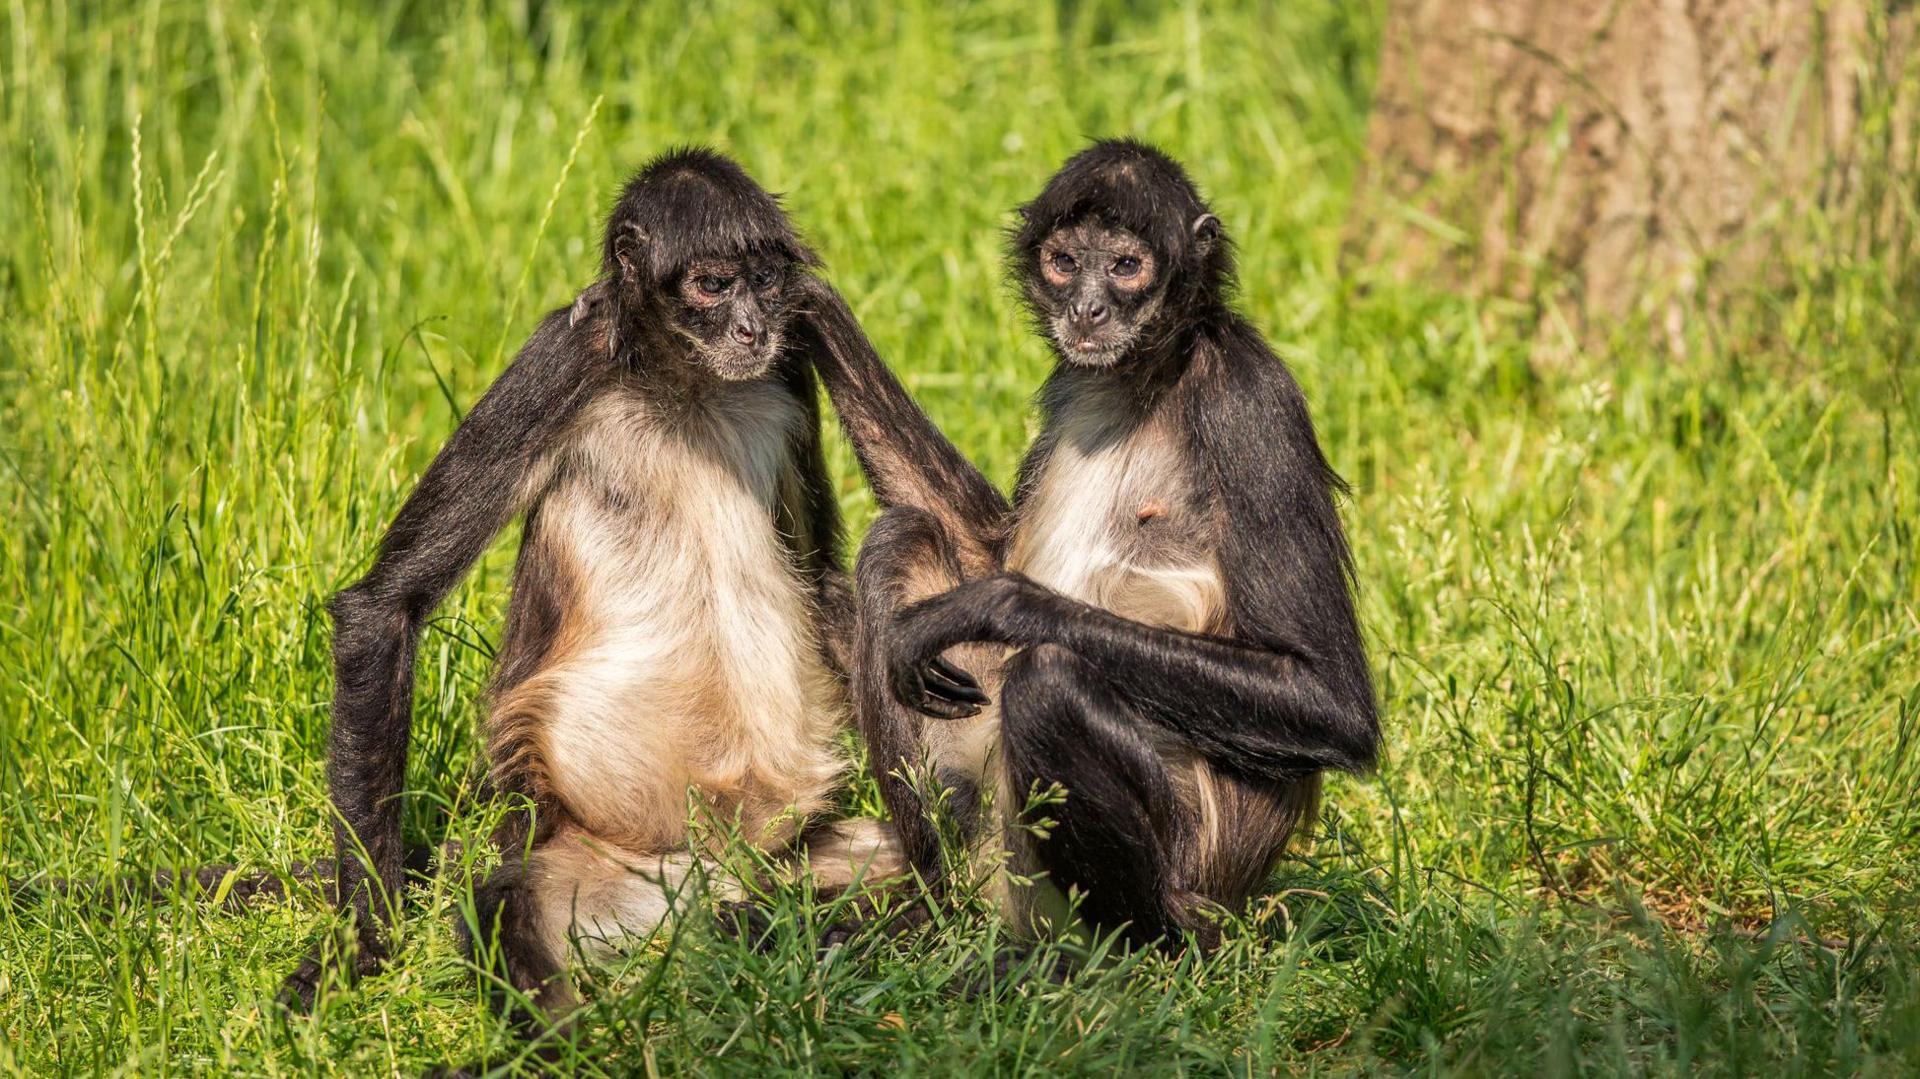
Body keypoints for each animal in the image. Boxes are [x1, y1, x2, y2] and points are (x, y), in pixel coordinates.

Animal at [278, 148, 909, 1033]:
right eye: (713, 285)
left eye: (763, 280)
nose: (752, 328)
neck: (688, 384)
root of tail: (705, 875)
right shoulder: (565, 355)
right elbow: (386, 604)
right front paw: (362, 945)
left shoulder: (786, 370)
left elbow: (820, 577)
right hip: (583, 862)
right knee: (502, 902)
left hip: (787, 861)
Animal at [799, 139, 1379, 952]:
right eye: (1066, 262)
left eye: (1127, 266)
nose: (1087, 308)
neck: (1145, 379)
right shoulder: (1069, 385)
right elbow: (977, 543)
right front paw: (810, 306)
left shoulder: (1248, 395)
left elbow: (1330, 701)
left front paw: (995, 603)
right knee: (901, 537)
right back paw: (935, 910)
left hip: (1184, 873)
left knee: (1048, 682)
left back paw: (1132, 951)